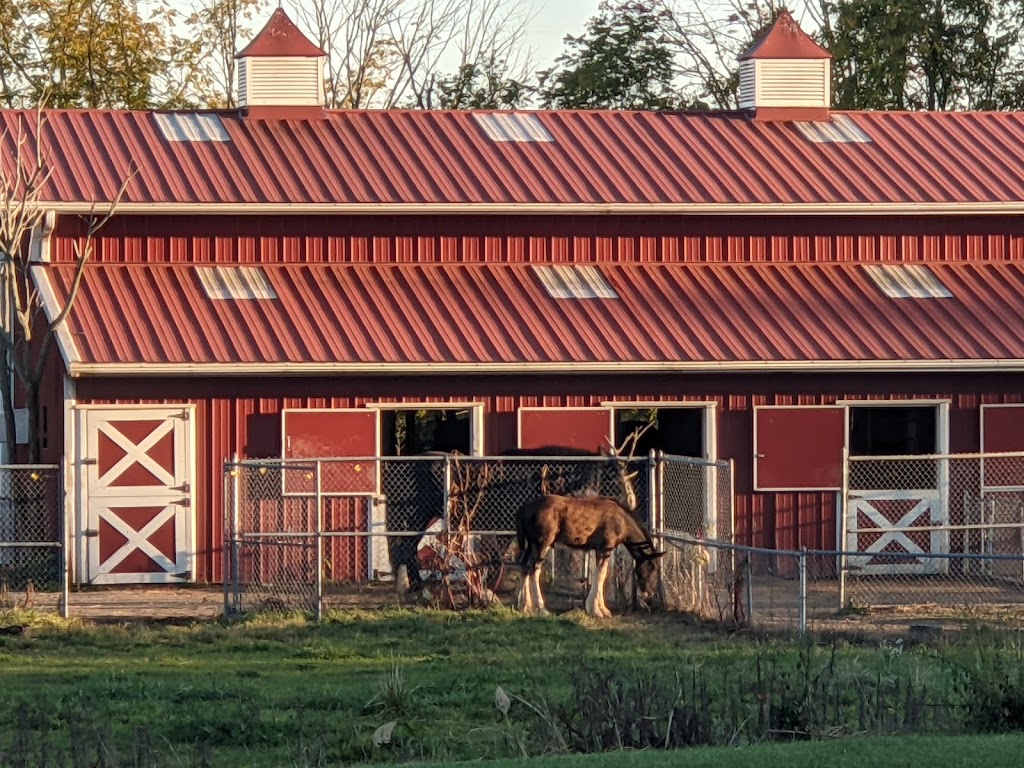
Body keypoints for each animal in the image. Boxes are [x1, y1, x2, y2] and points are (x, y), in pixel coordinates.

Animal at [516, 495, 667, 622]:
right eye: (653, 567)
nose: (649, 593)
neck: (623, 521)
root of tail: (523, 509)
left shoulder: (598, 549)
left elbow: (598, 575)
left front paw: (601, 609)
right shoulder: (606, 547)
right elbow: (601, 575)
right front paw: (597, 610)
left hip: (531, 544)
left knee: (524, 566)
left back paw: (524, 606)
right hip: (542, 543)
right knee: (534, 569)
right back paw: (541, 608)